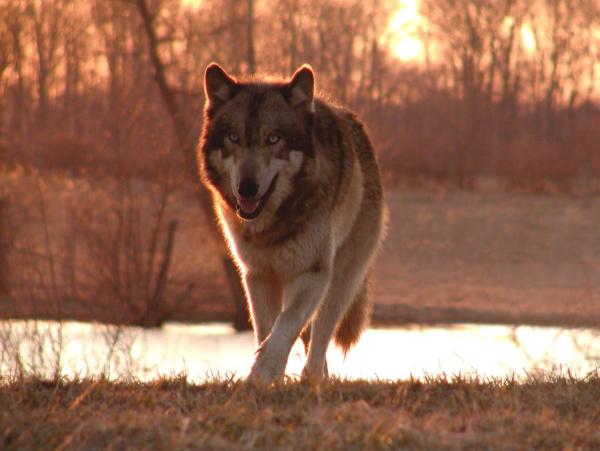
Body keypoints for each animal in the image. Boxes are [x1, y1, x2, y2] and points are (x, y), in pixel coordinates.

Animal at [197, 62, 384, 382]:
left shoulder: (313, 273)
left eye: (273, 139)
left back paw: (313, 379)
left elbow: (287, 322)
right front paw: (270, 376)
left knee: (319, 335)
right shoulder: (258, 275)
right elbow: (267, 329)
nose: (247, 188)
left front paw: (264, 370)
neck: (272, 224)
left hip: (339, 280)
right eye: (234, 137)